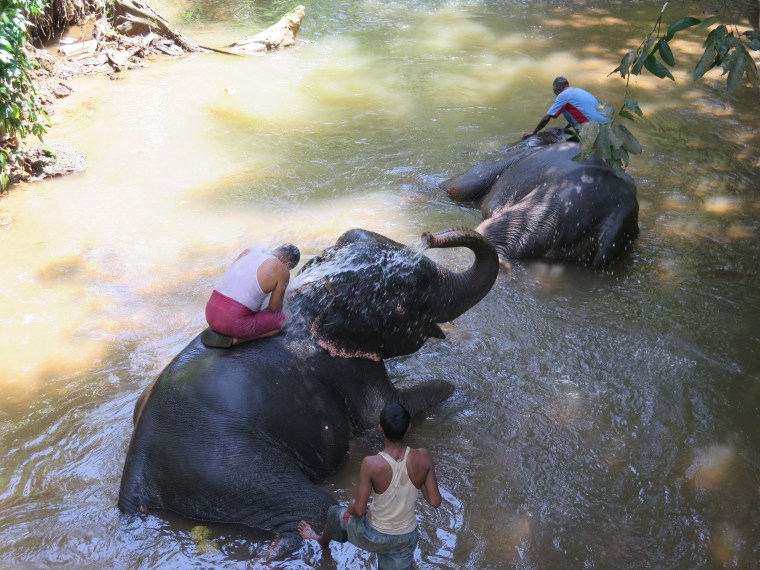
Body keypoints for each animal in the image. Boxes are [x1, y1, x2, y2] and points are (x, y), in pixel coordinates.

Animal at [118, 227, 498, 548]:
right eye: (418, 289)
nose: (430, 236)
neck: (316, 295)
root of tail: (134, 479)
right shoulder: (349, 368)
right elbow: (384, 411)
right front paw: (451, 387)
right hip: (226, 471)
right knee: (313, 507)